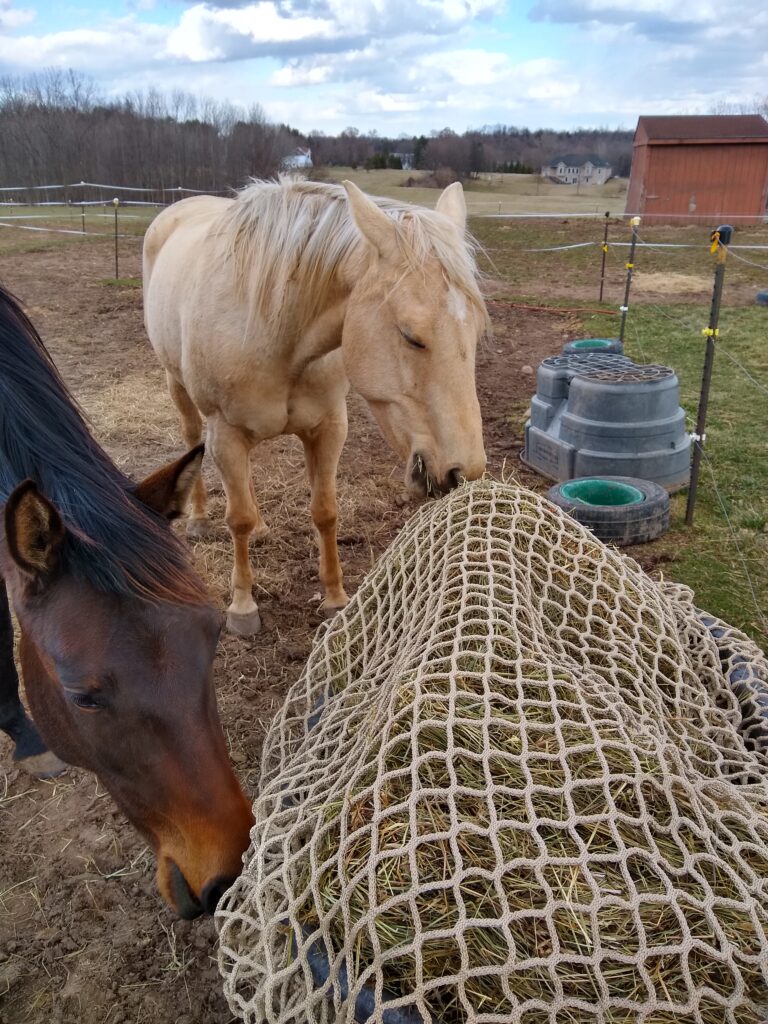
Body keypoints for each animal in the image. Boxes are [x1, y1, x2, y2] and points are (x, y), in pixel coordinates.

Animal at [143, 177, 488, 636]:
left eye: (477, 331)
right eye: (411, 336)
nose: (462, 473)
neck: (274, 329)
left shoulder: (328, 427)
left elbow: (325, 512)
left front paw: (334, 598)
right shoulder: (226, 434)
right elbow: (237, 519)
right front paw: (242, 607)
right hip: (177, 387)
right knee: (191, 440)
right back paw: (199, 519)